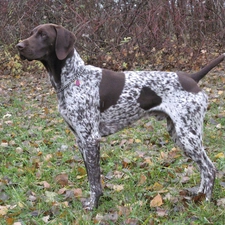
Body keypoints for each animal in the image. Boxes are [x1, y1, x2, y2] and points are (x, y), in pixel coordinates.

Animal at [15, 23, 223, 210]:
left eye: (43, 35)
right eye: (32, 33)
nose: (19, 46)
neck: (73, 78)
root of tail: (192, 78)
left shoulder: (90, 139)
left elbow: (94, 180)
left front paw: (93, 206)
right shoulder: (81, 140)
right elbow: (91, 177)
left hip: (188, 136)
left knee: (210, 169)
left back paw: (205, 201)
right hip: (179, 135)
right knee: (203, 169)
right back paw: (199, 195)